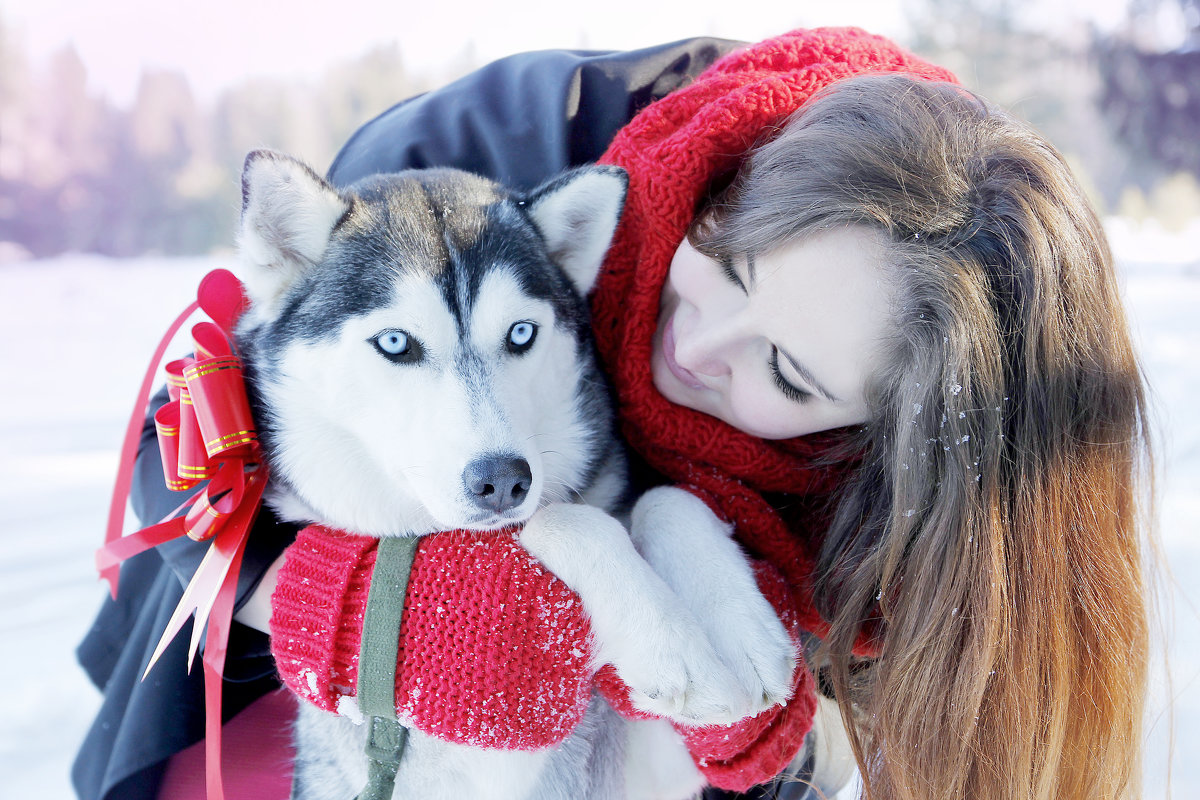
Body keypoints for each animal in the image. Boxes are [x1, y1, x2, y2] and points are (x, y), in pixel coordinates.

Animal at [234, 151, 796, 800]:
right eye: (396, 342)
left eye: (521, 332)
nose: (503, 480)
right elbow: (562, 520)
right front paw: (668, 641)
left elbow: (667, 498)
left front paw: (741, 631)